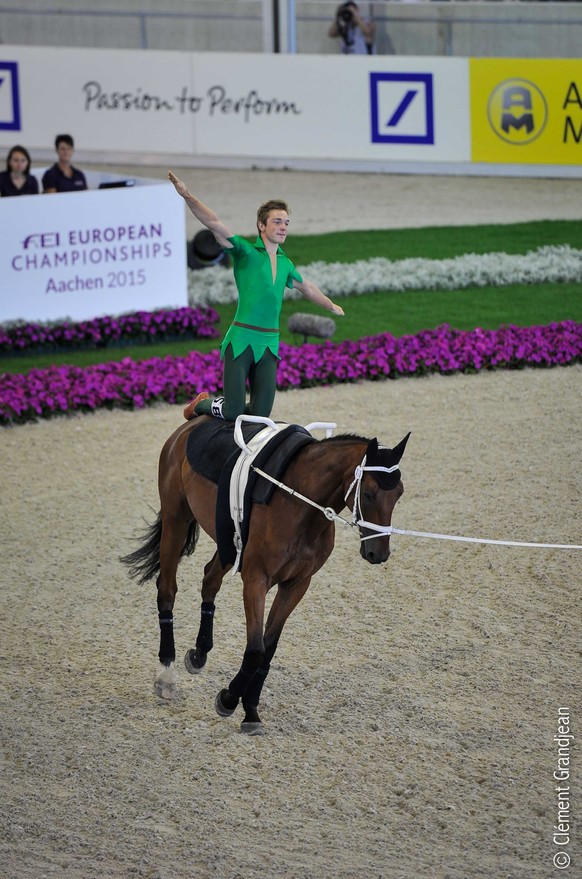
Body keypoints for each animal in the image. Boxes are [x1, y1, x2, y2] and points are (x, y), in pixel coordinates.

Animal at [122, 416, 410, 732]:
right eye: (368, 493)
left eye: (399, 494)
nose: (378, 553)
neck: (299, 504)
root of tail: (194, 420)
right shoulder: (256, 580)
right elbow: (256, 649)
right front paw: (228, 700)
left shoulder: (296, 584)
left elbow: (268, 649)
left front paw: (250, 710)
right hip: (176, 519)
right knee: (167, 589)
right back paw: (166, 674)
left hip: (227, 541)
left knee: (210, 580)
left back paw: (199, 653)